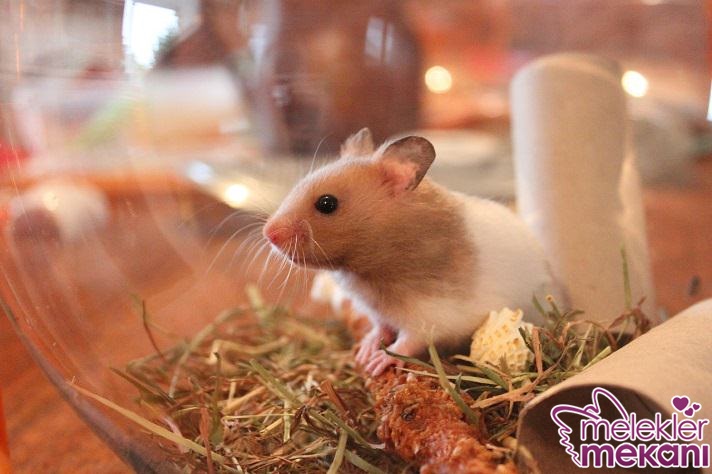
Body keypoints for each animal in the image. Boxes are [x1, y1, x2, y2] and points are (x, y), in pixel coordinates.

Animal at [263, 128, 559, 375]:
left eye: (327, 203)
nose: (268, 234)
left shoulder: (431, 318)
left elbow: (408, 342)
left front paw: (376, 363)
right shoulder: (377, 311)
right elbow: (380, 328)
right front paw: (364, 352)